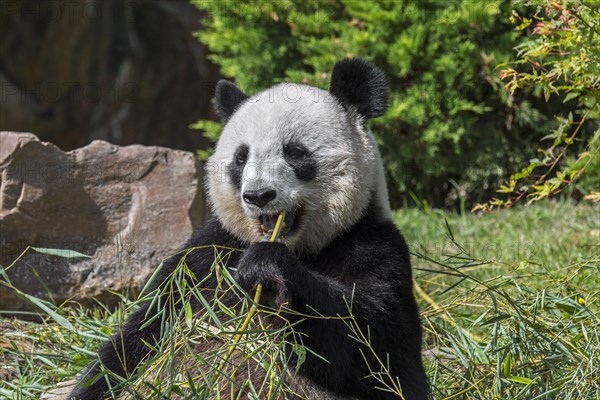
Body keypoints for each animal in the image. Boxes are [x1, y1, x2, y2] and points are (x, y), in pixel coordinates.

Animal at [68, 59, 428, 400]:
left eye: (295, 152)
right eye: (241, 158)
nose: (258, 195)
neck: (300, 246)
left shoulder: (370, 243)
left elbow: (376, 347)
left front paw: (267, 268)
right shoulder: (207, 254)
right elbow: (144, 331)